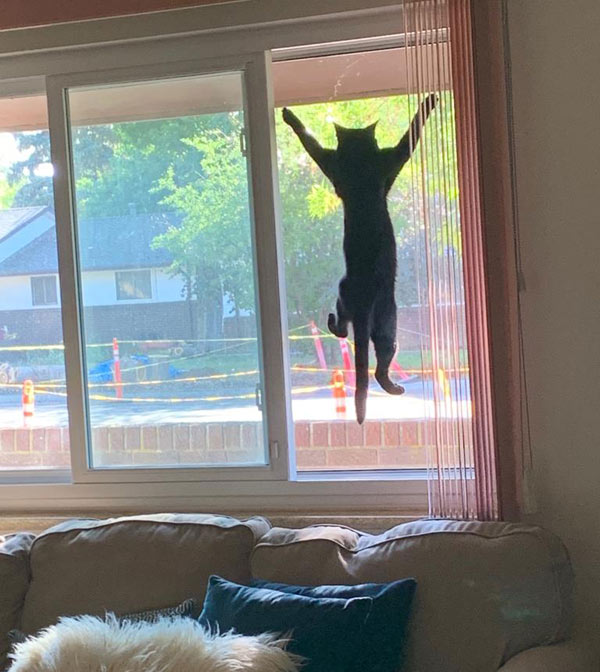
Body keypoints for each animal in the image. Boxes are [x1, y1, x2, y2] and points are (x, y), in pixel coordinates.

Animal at [282, 94, 436, 422]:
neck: (359, 163)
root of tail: (366, 298)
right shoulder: (383, 160)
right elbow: (409, 137)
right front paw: (429, 102)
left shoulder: (343, 163)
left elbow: (312, 143)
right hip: (375, 311)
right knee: (368, 352)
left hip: (368, 309)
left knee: (364, 345)